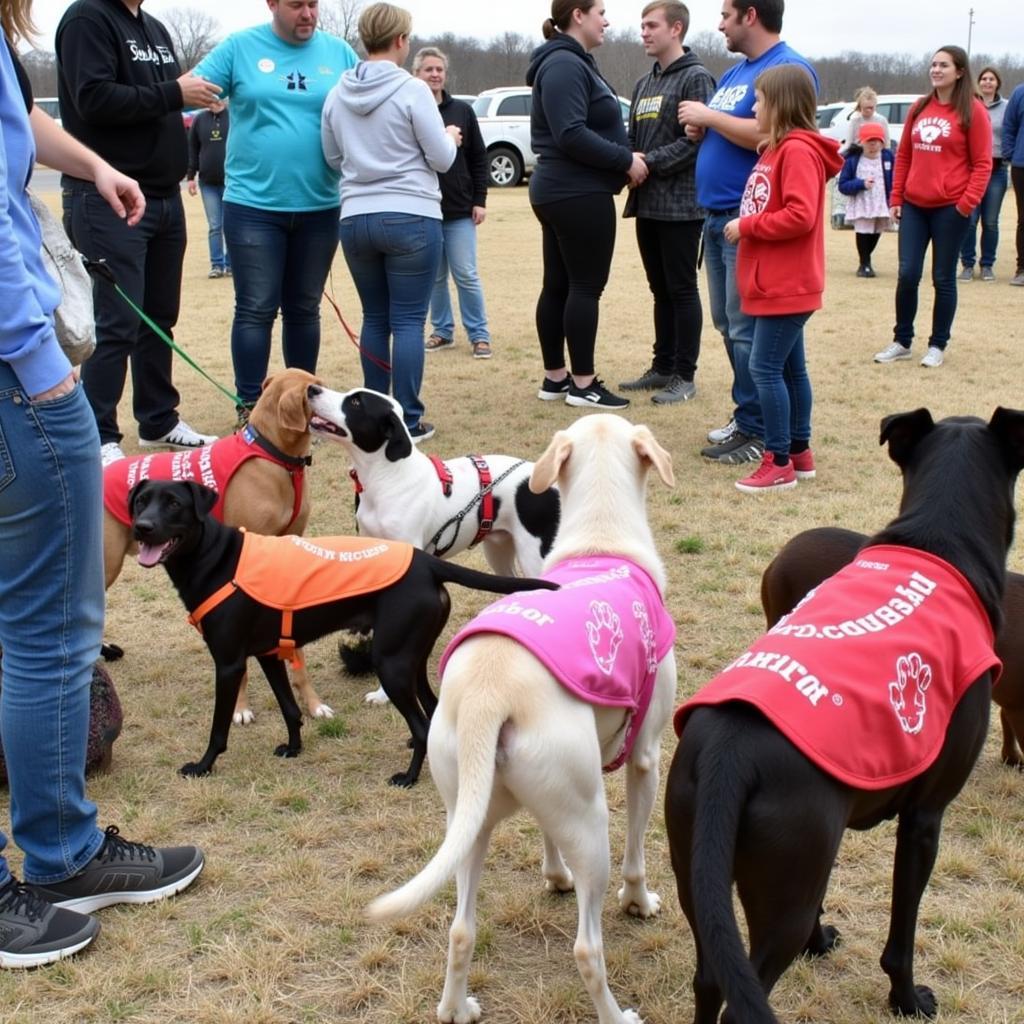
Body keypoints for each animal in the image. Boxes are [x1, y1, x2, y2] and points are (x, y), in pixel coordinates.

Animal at [130, 477, 561, 782]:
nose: (141, 527)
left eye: (174, 503)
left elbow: (219, 729)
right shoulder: (269, 654)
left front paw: (202, 766)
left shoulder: (229, 663)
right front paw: (294, 747)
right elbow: (290, 708)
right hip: (411, 659)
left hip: (391, 665)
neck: (217, 559)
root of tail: (426, 563)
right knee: (432, 708)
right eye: (140, 501)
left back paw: (408, 776)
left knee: (422, 724)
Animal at [307, 385, 561, 704]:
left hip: (533, 556)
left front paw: (383, 693)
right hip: (498, 550)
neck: (386, 477)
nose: (312, 388)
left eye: (355, 402)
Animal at [370, 415, 679, 1024]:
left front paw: (554, 877)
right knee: (587, 948)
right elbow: (637, 855)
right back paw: (616, 1014)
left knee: (460, 930)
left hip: (469, 817)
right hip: (591, 821)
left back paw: (456, 1008)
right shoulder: (645, 757)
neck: (601, 540)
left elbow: (544, 835)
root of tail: (488, 694)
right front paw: (639, 903)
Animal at [663, 409, 1024, 1024]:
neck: (939, 539)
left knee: (710, 980)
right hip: (781, 894)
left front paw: (821, 942)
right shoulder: (925, 817)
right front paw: (907, 999)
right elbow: (902, 933)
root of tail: (729, 756)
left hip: (699, 870)